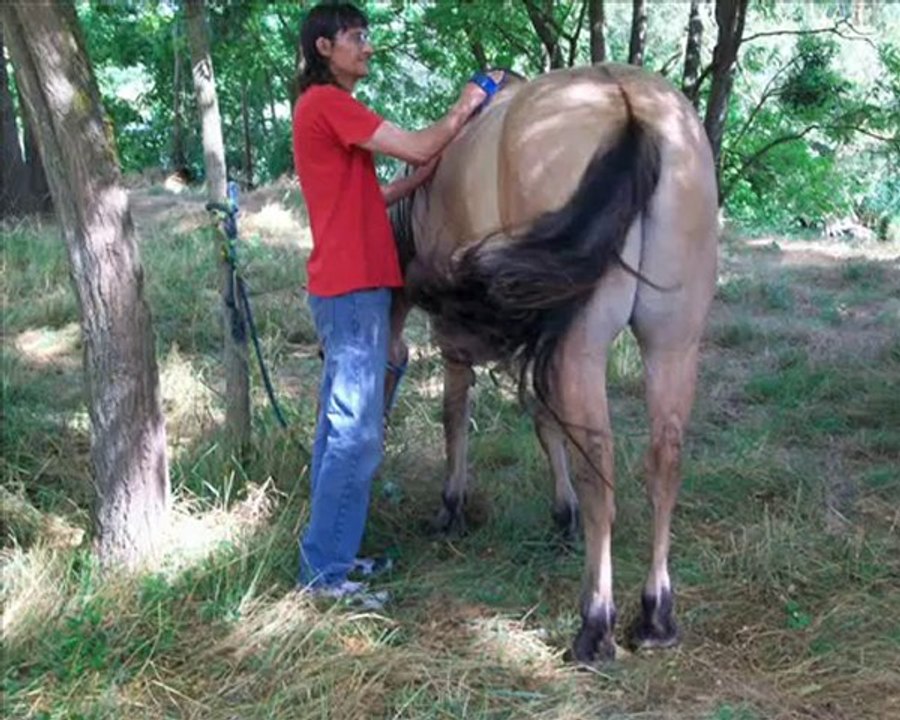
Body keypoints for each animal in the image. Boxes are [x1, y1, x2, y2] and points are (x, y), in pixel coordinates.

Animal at [386, 63, 718, 664]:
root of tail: (628, 104)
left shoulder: (458, 341)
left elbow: (455, 417)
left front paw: (452, 505)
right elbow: (546, 424)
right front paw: (561, 513)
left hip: (582, 347)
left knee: (600, 465)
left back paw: (596, 624)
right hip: (673, 342)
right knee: (665, 459)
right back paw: (656, 614)